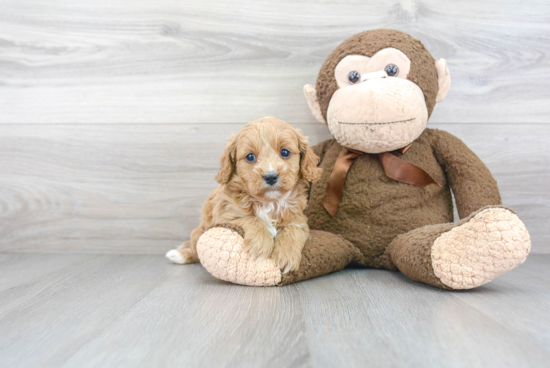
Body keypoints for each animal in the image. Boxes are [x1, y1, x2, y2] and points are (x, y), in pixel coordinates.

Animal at [168, 116, 324, 272]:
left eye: (285, 152)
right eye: (250, 157)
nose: (271, 177)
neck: (270, 203)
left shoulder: (299, 219)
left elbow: (293, 229)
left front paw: (286, 255)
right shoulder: (226, 215)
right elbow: (251, 218)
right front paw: (261, 244)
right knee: (194, 247)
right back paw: (180, 255)